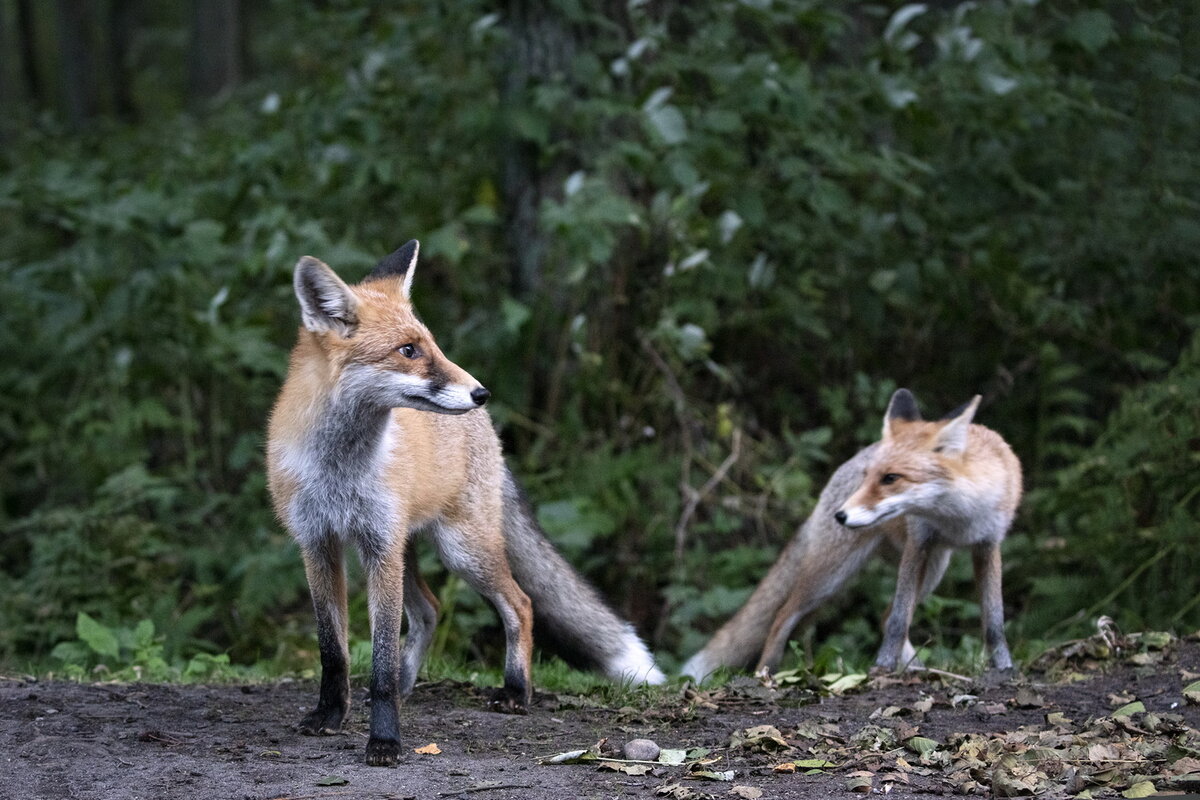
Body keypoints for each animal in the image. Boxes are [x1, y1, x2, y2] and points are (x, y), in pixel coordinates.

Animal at [265, 241, 667, 767]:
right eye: (408, 350)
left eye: (432, 345)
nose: (481, 391)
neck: (340, 469)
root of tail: (490, 431)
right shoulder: (319, 544)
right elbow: (334, 652)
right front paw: (330, 716)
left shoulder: (379, 547)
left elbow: (380, 661)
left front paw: (385, 740)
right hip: (410, 549)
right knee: (431, 610)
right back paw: (410, 685)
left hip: (460, 549)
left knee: (520, 603)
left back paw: (516, 691)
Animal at [686, 388, 1022, 681]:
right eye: (869, 476)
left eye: (891, 478)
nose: (841, 515)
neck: (957, 519)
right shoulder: (918, 543)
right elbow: (899, 620)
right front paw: (882, 667)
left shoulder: (988, 545)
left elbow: (994, 623)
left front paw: (1005, 669)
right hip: (833, 573)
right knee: (783, 615)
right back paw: (765, 673)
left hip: (934, 568)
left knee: (883, 615)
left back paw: (918, 670)